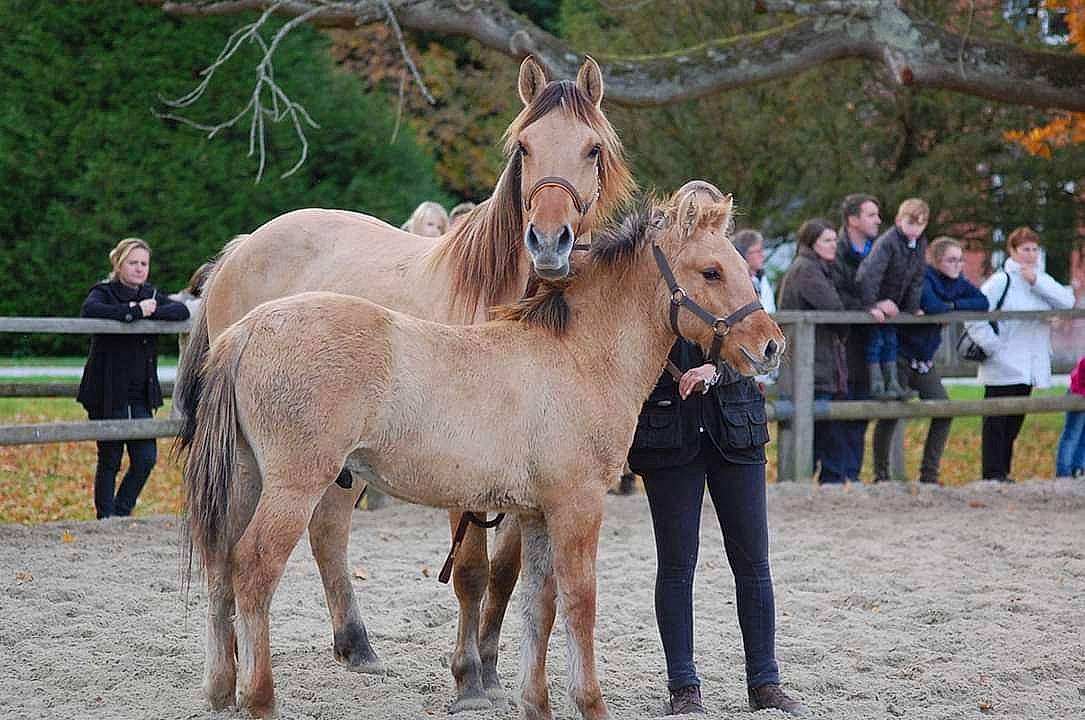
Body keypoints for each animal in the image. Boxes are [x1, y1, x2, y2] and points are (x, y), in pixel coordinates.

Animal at [175, 56, 635, 712]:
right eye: (523, 148)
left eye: (591, 149)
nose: (549, 242)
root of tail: (240, 250)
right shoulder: (468, 477)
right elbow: (470, 573)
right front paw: (468, 678)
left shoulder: (525, 482)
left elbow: (508, 575)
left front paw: (493, 667)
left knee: (322, 532)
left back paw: (352, 646)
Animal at [183, 181, 785, 719]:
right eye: (711, 271)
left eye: (740, 264)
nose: (771, 346)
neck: (577, 356)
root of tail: (248, 331)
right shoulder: (578, 506)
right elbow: (580, 601)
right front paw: (589, 703)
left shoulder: (537, 514)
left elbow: (538, 604)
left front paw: (536, 703)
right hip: (294, 485)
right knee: (255, 567)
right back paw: (259, 699)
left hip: (246, 480)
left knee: (221, 563)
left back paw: (220, 690)